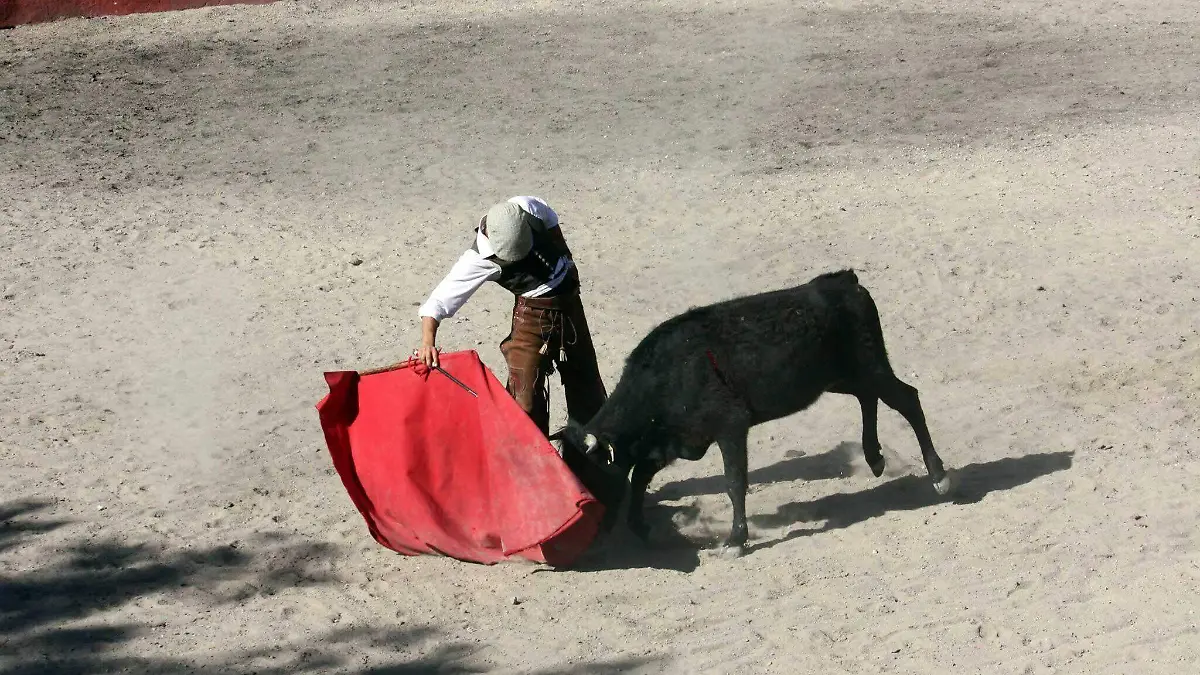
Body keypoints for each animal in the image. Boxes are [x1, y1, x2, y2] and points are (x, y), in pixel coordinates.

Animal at [553, 269, 952, 557]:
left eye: (589, 472)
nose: (591, 535)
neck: (664, 376)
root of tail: (845, 282)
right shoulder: (677, 439)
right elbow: (640, 476)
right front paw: (640, 527)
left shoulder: (730, 426)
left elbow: (734, 482)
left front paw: (734, 541)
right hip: (842, 376)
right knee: (868, 398)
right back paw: (874, 458)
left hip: (870, 366)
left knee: (907, 400)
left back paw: (939, 477)